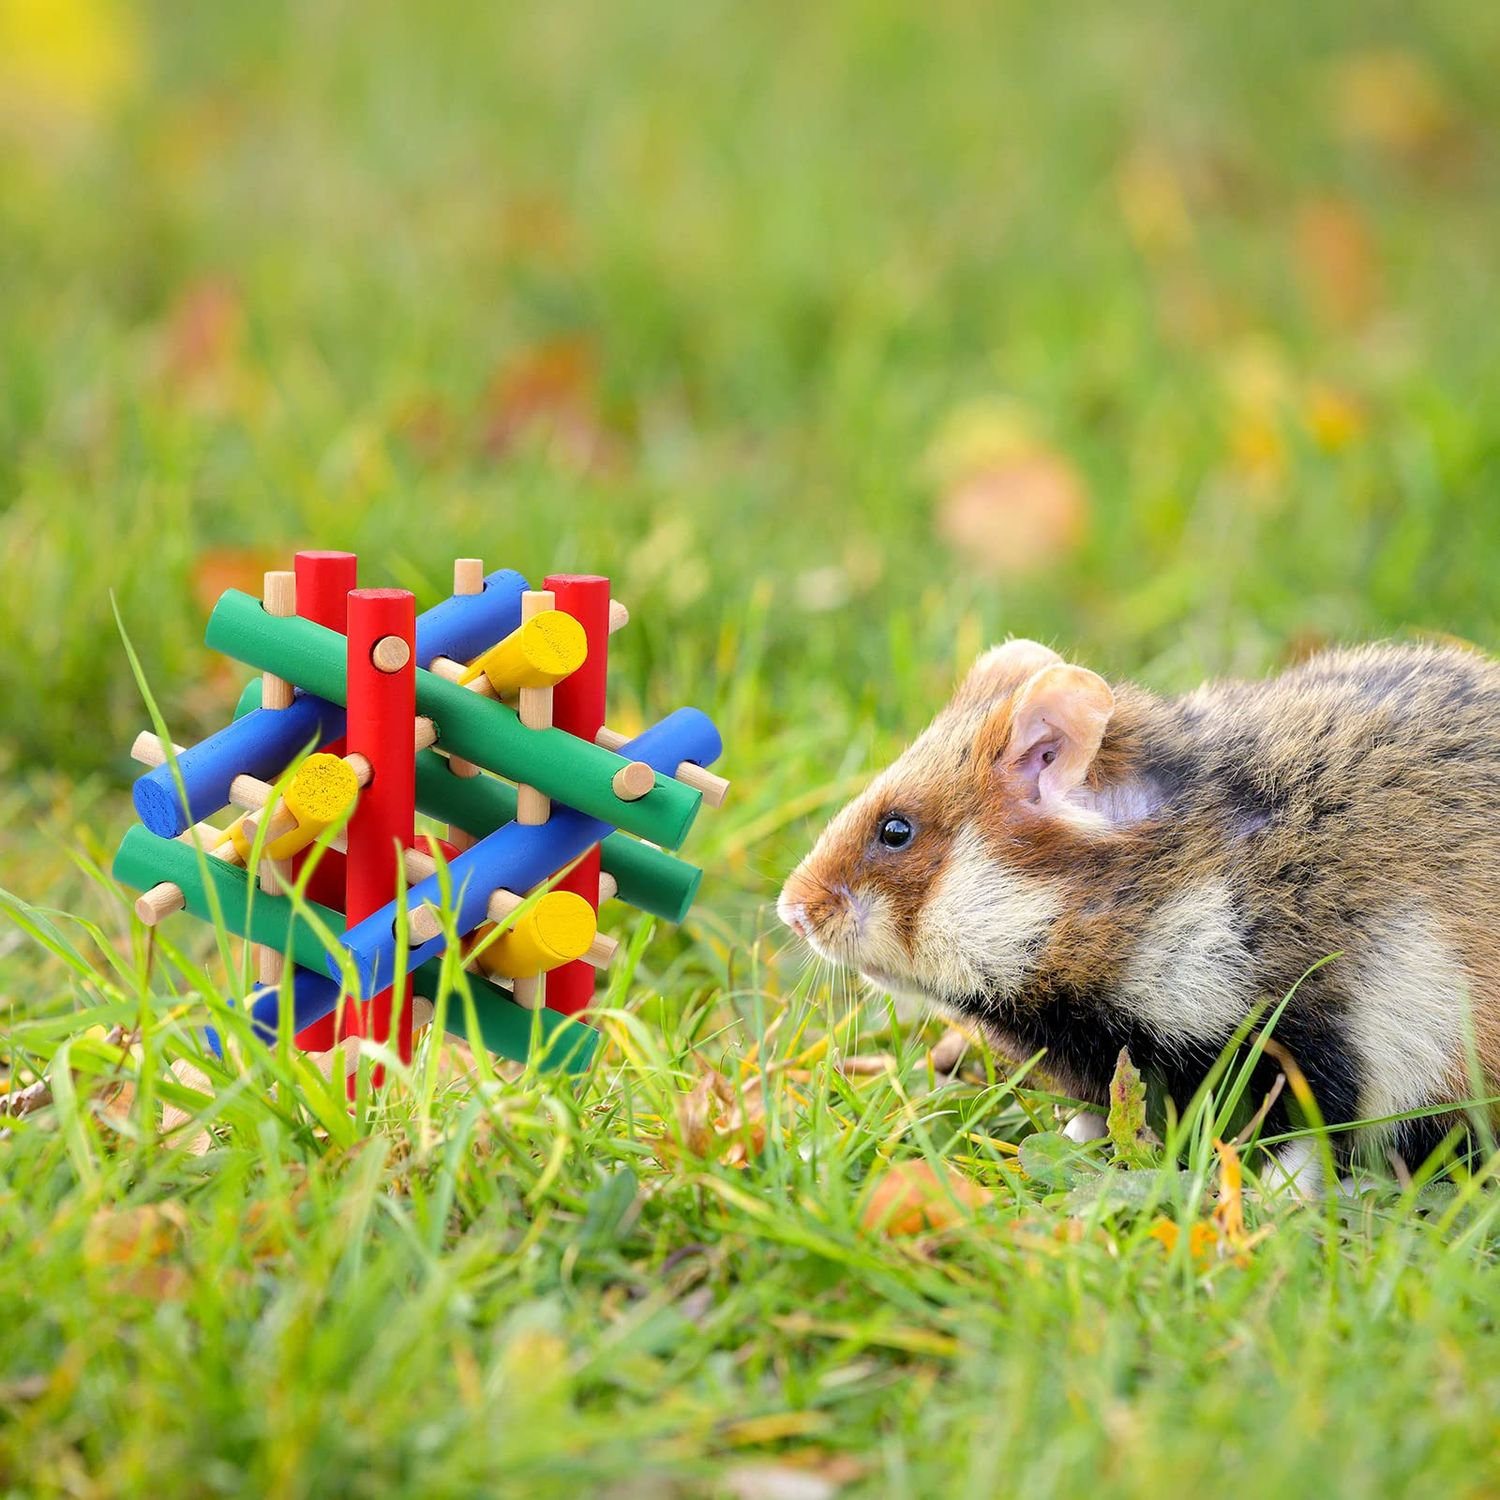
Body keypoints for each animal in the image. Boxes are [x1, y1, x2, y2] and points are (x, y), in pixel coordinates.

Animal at [778, 638, 1500, 1190]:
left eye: (896, 831)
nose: (790, 913)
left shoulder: (1330, 1034)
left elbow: (1307, 1142)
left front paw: (1260, 1207)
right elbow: (1096, 1114)